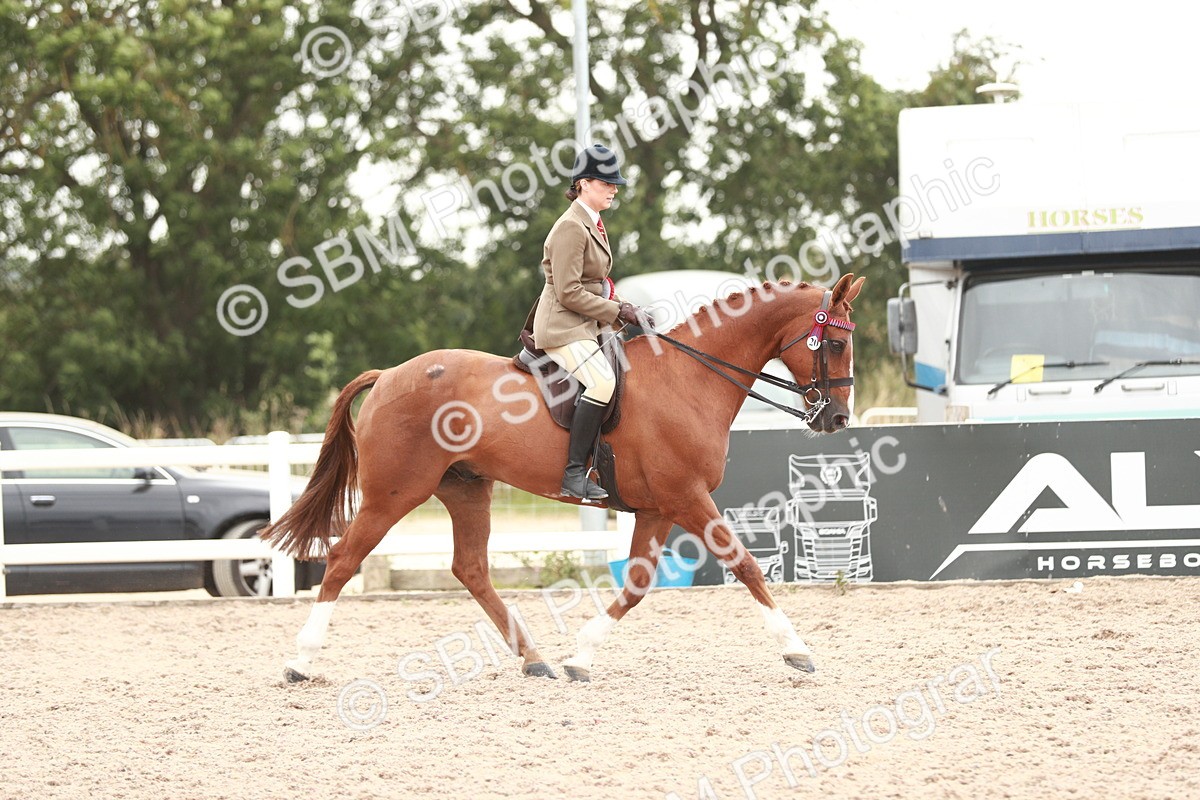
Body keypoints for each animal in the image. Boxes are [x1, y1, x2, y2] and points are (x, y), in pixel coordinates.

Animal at [263, 273, 866, 683]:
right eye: (835, 343)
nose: (837, 419)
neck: (690, 378)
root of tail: (388, 375)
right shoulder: (687, 498)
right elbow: (746, 566)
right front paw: (796, 649)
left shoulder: (658, 508)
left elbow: (637, 585)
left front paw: (580, 654)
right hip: (394, 494)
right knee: (343, 560)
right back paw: (299, 661)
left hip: (466, 488)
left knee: (471, 570)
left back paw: (535, 660)